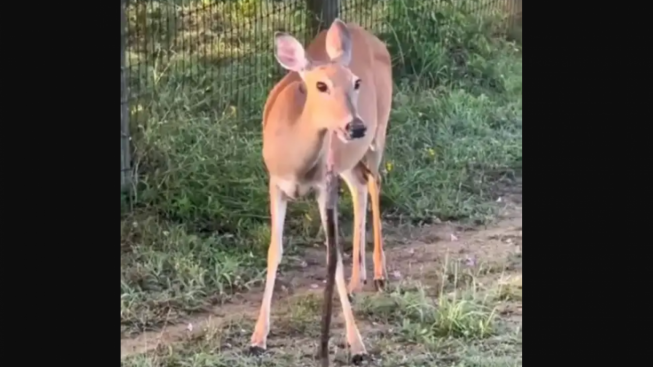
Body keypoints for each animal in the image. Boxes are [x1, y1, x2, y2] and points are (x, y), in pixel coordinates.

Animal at [248, 18, 392, 364]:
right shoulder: (275, 183)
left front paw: (357, 345)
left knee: (375, 181)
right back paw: (357, 281)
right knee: (361, 185)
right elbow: (274, 250)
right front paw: (257, 338)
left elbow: (332, 256)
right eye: (320, 86)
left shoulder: (324, 185)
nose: (355, 126)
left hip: (378, 133)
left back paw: (379, 274)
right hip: (347, 161)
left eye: (356, 82)